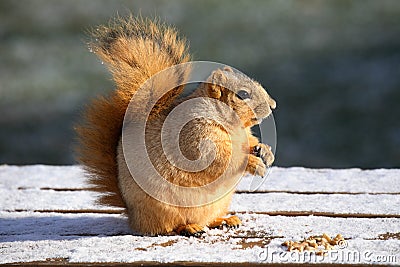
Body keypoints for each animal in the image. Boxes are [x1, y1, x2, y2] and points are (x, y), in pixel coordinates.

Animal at [76, 15, 276, 238]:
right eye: (243, 94)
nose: (273, 105)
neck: (234, 126)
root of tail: (133, 216)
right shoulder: (193, 135)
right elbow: (219, 160)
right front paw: (253, 162)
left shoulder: (243, 135)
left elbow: (250, 142)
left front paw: (265, 152)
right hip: (164, 209)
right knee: (168, 227)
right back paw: (190, 228)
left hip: (216, 205)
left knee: (208, 219)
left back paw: (225, 220)